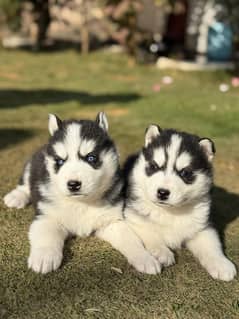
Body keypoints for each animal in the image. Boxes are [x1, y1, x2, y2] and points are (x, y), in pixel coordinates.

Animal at [4, 114, 161, 276]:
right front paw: (44, 257)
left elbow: (130, 239)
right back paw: (16, 197)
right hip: (32, 165)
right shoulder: (46, 216)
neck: (81, 202)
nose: (73, 184)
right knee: (25, 183)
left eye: (91, 158)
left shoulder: (110, 221)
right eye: (60, 161)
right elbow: (45, 235)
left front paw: (144, 258)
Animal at [123, 125, 237, 282]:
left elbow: (212, 244)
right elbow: (149, 232)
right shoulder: (133, 215)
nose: (162, 192)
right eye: (154, 166)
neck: (172, 211)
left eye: (185, 173)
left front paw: (221, 264)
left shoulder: (202, 226)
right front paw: (162, 251)